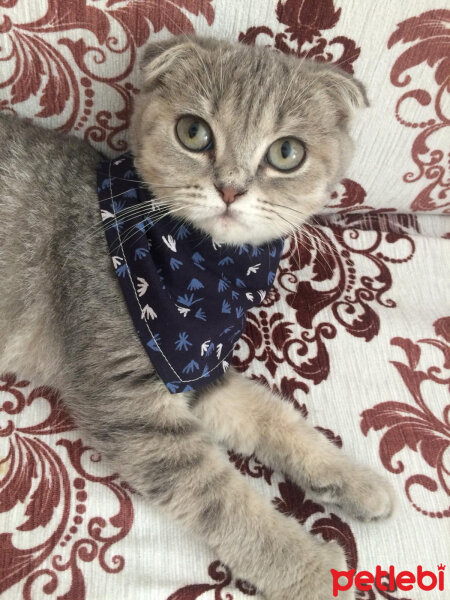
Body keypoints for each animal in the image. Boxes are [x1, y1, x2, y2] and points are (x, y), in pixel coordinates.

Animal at [0, 37, 394, 600]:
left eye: (286, 153)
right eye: (193, 132)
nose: (230, 189)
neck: (206, 272)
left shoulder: (193, 365)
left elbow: (271, 416)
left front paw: (351, 479)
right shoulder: (133, 403)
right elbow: (226, 500)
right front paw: (316, 571)